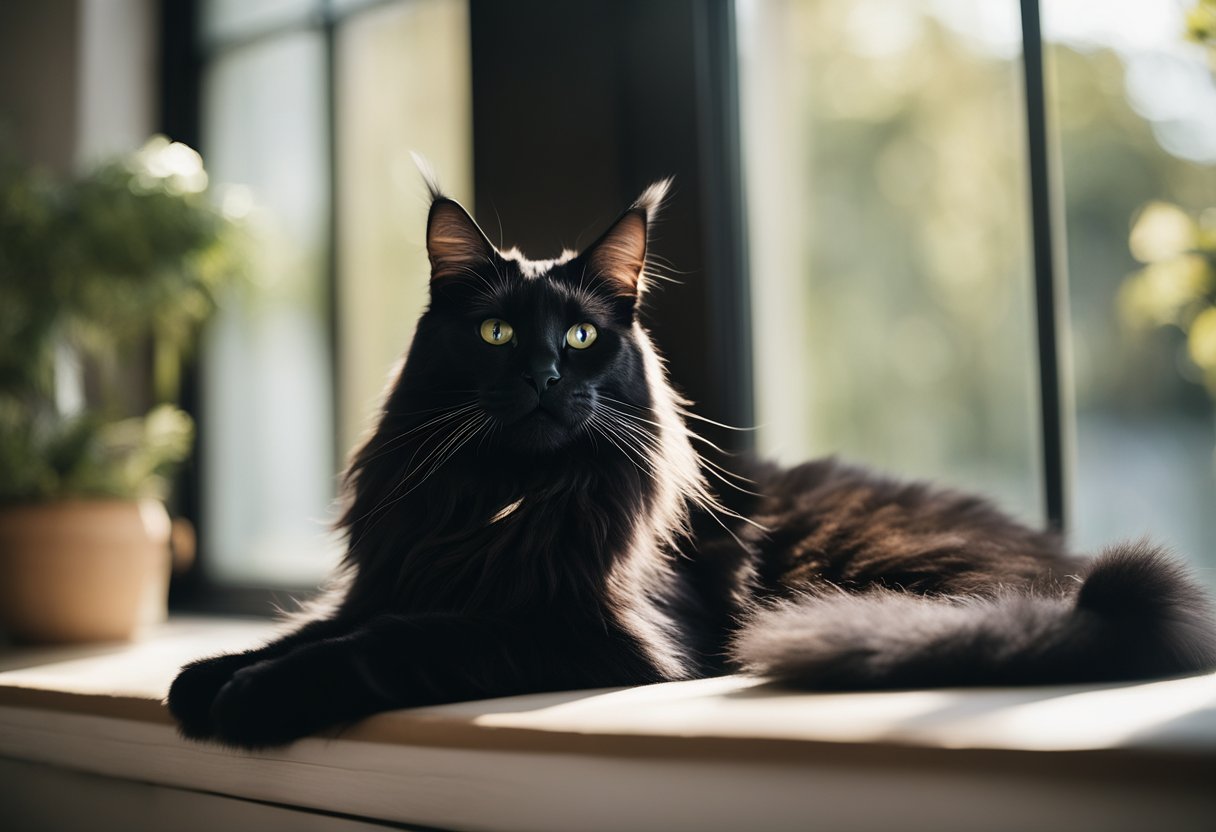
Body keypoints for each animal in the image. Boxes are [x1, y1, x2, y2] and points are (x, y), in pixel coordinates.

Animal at [166, 180, 1216, 749]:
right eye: (498, 333)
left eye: (581, 336)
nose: (546, 376)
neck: (505, 501)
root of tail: (1077, 581)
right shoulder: (396, 577)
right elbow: (315, 628)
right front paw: (204, 677)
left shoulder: (581, 634)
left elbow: (388, 644)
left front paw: (254, 697)